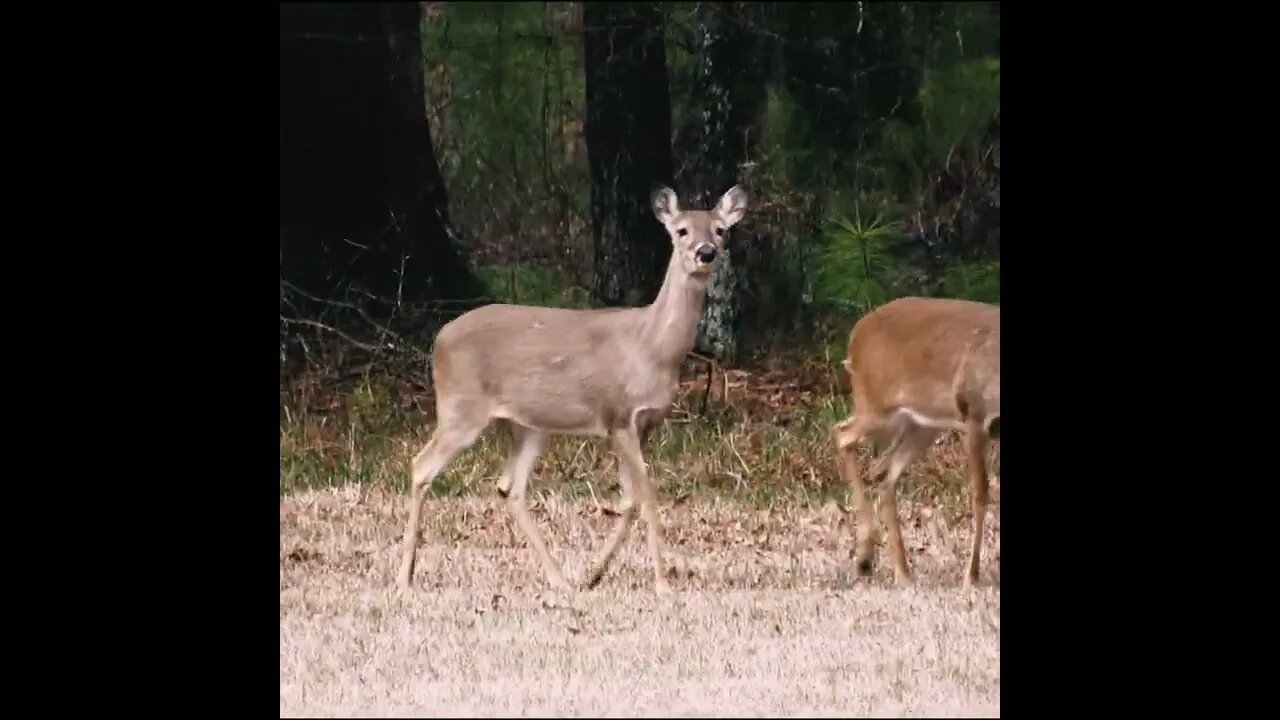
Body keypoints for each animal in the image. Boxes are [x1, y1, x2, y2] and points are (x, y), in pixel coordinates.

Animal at [391, 183, 747, 594]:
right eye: (681, 230)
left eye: (720, 230)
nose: (706, 252)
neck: (652, 348)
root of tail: (438, 340)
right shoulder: (618, 416)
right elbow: (646, 497)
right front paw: (661, 583)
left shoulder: (644, 423)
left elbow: (630, 500)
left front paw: (594, 574)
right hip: (460, 407)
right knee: (421, 466)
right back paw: (404, 576)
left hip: (528, 425)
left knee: (509, 486)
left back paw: (559, 577)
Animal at [829, 294, 998, 586]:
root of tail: (855, 335)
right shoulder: (974, 416)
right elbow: (980, 494)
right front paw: (971, 577)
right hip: (877, 404)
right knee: (843, 433)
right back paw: (865, 560)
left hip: (922, 423)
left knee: (884, 470)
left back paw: (901, 571)